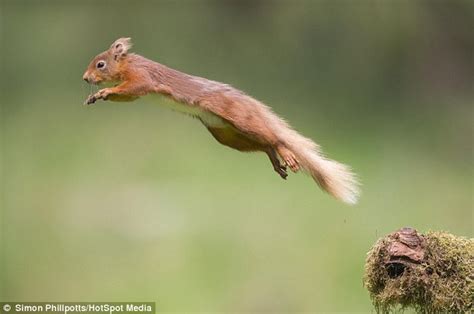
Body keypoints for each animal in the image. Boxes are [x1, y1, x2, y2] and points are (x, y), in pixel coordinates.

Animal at [84, 37, 360, 204]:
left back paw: (286, 154)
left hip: (239, 119)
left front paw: (104, 91)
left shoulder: (142, 77)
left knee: (274, 138)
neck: (128, 64)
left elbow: (132, 88)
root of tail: (247, 102)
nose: (85, 78)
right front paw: (97, 95)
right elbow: (126, 96)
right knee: (264, 144)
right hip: (227, 134)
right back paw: (275, 160)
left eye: (100, 64)